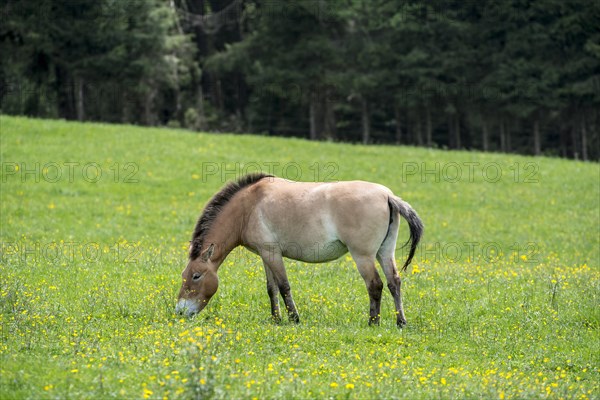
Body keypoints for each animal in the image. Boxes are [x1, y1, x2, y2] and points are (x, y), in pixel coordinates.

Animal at [176, 173, 424, 326]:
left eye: (196, 276)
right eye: (184, 275)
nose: (180, 311)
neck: (248, 207)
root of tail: (387, 195)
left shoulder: (273, 254)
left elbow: (284, 286)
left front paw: (294, 318)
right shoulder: (265, 255)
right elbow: (271, 288)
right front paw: (276, 319)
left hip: (363, 256)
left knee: (375, 285)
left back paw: (373, 321)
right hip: (385, 253)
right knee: (393, 282)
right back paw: (400, 322)